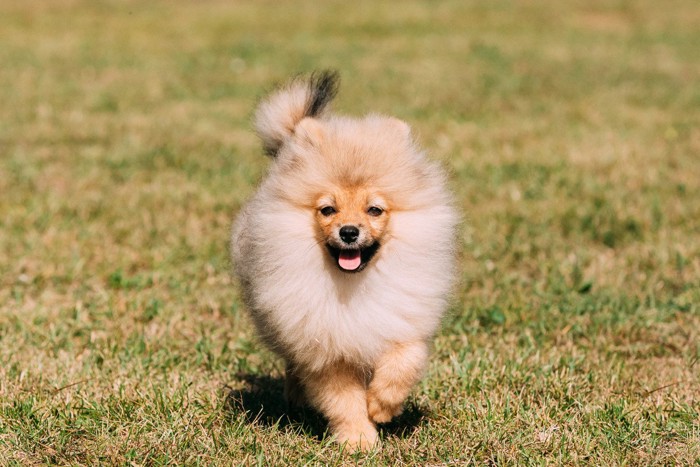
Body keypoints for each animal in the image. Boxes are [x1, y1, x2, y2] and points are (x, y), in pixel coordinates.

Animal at [232, 71, 456, 452]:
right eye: (328, 209)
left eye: (374, 209)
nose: (349, 231)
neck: (353, 287)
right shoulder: (326, 349)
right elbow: (343, 400)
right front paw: (359, 439)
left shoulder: (403, 319)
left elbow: (404, 361)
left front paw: (382, 405)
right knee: (293, 364)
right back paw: (296, 397)